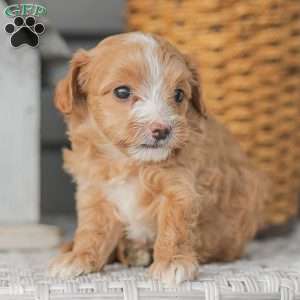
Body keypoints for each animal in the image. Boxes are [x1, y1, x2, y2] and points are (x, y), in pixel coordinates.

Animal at [48, 31, 268, 284]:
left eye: (179, 94)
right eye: (122, 92)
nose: (162, 130)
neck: (128, 161)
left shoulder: (179, 188)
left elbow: (174, 226)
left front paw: (172, 262)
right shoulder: (95, 190)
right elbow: (92, 228)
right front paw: (80, 256)